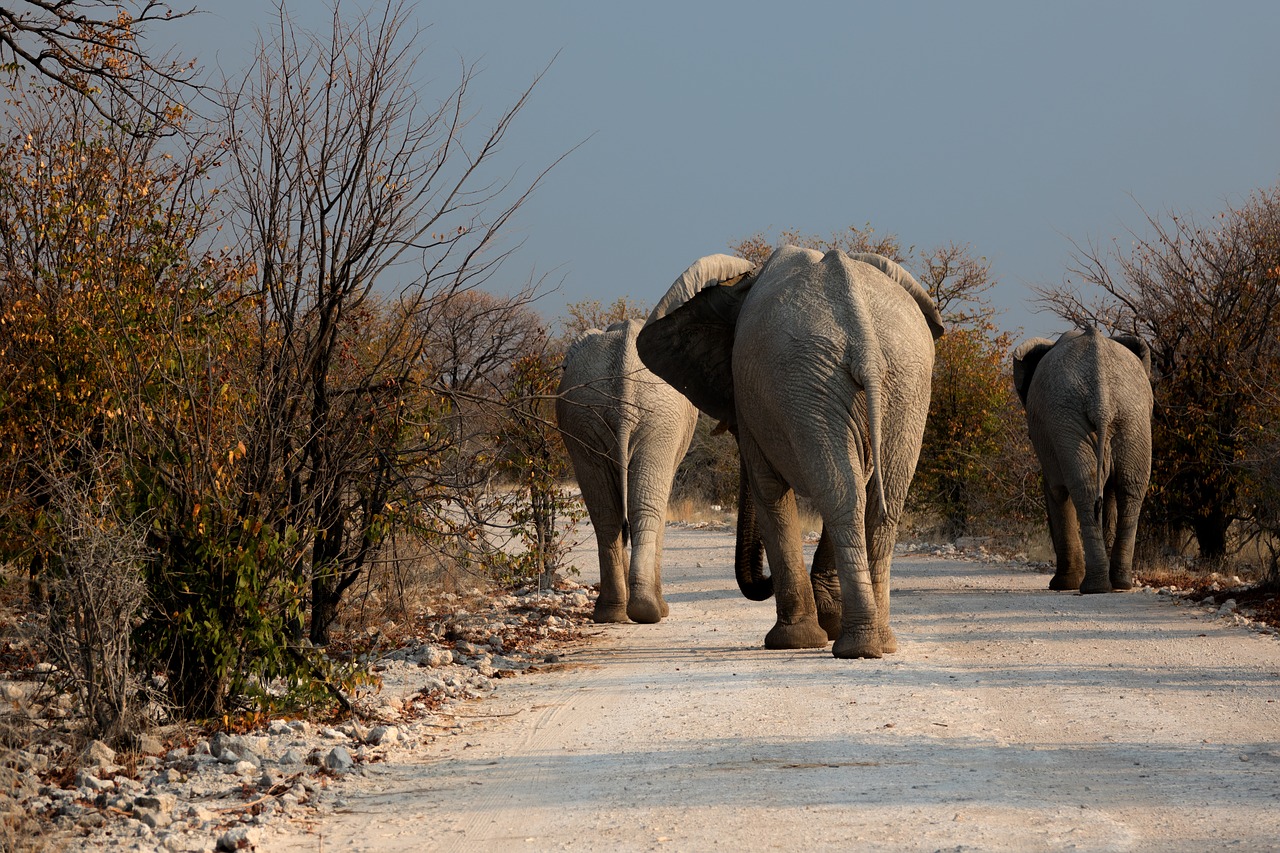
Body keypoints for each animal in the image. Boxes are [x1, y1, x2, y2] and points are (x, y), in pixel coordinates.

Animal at [555, 249, 752, 622]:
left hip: (589, 415)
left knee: (607, 511)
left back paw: (613, 613)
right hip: (653, 418)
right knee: (646, 505)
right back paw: (650, 610)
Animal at [637, 245, 947, 655]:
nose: (763, 580)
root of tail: (863, 336)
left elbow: (768, 491)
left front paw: (793, 642)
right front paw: (820, 628)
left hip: (825, 384)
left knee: (844, 496)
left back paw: (856, 647)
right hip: (889, 382)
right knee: (874, 502)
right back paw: (878, 643)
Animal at [1013, 325, 1157, 591]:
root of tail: (1101, 399)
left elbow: (1056, 491)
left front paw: (1061, 585)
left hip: (1086, 418)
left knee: (1088, 489)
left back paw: (1095, 587)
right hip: (1130, 419)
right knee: (1128, 488)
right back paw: (1116, 584)